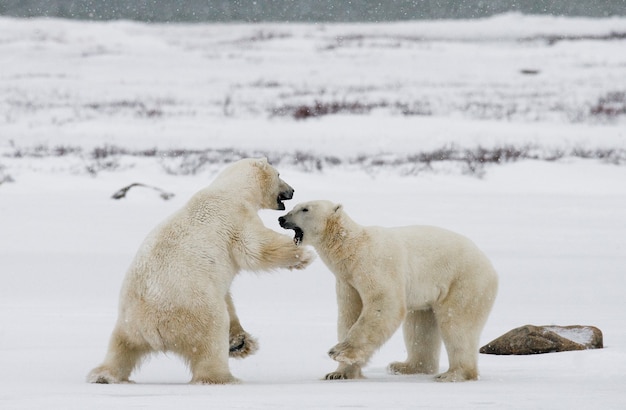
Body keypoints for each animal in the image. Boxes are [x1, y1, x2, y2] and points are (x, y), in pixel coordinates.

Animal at [88, 158, 312, 384]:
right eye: (279, 174)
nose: (292, 190)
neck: (233, 189)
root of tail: (152, 329)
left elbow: (228, 295)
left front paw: (240, 342)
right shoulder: (235, 217)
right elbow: (255, 247)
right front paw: (303, 255)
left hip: (128, 323)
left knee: (121, 348)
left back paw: (104, 375)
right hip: (195, 310)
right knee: (211, 337)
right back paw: (224, 377)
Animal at [278, 200, 498, 382]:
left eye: (305, 209)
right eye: (294, 206)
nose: (282, 218)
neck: (352, 248)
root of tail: (490, 266)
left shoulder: (374, 264)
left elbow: (383, 304)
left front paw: (339, 352)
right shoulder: (347, 281)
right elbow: (349, 314)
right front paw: (338, 373)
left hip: (464, 282)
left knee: (457, 325)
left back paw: (454, 374)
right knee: (419, 326)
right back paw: (405, 367)